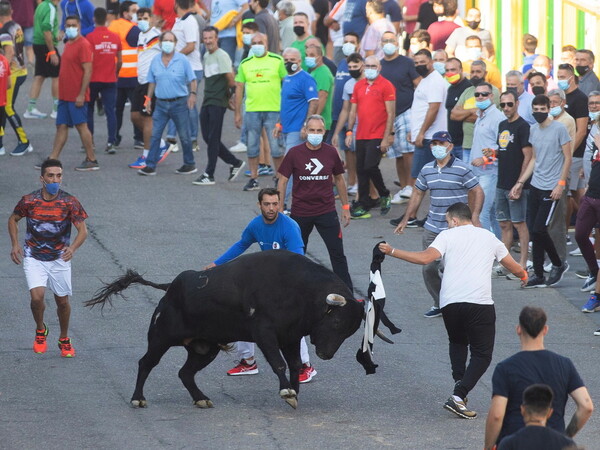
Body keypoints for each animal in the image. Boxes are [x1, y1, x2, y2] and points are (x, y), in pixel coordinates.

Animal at [86, 251, 364, 410]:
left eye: (349, 332)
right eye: (336, 323)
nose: (326, 354)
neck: (300, 290)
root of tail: (171, 288)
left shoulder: (291, 337)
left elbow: (295, 364)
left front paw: (293, 393)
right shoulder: (264, 333)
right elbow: (279, 363)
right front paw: (287, 391)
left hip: (204, 348)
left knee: (185, 373)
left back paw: (201, 398)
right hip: (160, 338)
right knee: (146, 363)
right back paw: (138, 398)